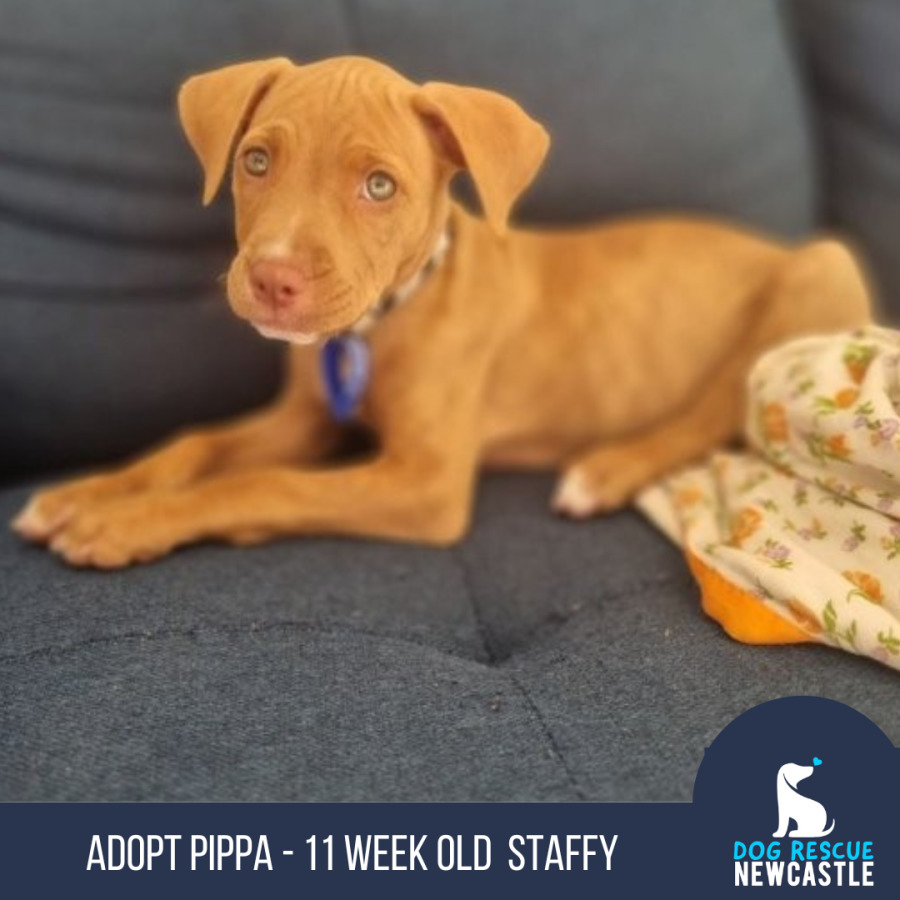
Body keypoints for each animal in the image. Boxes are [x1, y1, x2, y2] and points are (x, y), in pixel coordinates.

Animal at [11, 56, 871, 569]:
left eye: (379, 186)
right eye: (255, 161)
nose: (274, 278)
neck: (382, 321)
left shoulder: (424, 483)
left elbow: (263, 486)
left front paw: (129, 523)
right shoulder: (305, 420)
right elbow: (197, 447)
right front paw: (88, 495)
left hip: (819, 270)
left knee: (715, 408)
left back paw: (601, 471)